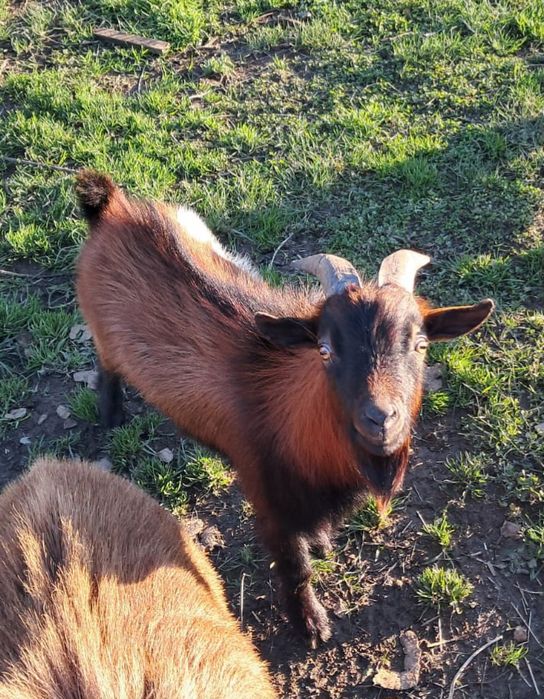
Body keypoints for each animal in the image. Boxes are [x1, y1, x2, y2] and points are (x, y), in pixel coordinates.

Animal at [75, 171, 494, 645]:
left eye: (421, 345)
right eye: (325, 350)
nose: (380, 419)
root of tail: (112, 206)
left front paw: (323, 544)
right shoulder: (268, 498)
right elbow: (296, 569)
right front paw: (310, 624)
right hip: (102, 336)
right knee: (106, 368)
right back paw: (111, 415)